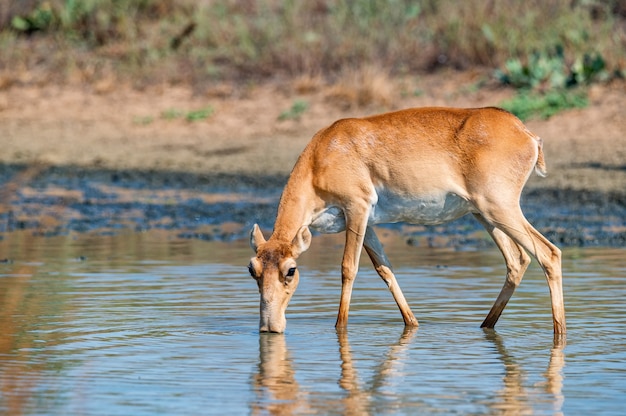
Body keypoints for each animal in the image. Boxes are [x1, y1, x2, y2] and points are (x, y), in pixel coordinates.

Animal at [246, 106, 564, 334]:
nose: (269, 327)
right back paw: (486, 325)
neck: (323, 153)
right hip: (483, 214)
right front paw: (412, 323)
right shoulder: (367, 224)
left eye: (290, 270)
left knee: (548, 253)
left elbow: (348, 268)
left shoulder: (356, 209)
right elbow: (385, 269)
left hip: (500, 209)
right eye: (252, 269)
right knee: (518, 260)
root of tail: (525, 133)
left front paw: (340, 328)